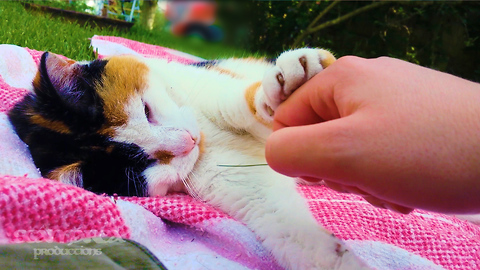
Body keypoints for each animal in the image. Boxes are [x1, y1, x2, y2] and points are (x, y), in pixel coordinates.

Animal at [7, 49, 368, 270]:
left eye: (146, 111)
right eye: (140, 168)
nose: (188, 141)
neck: (208, 141)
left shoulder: (211, 91)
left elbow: (242, 104)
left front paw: (285, 85)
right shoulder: (246, 188)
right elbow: (284, 226)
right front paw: (335, 259)